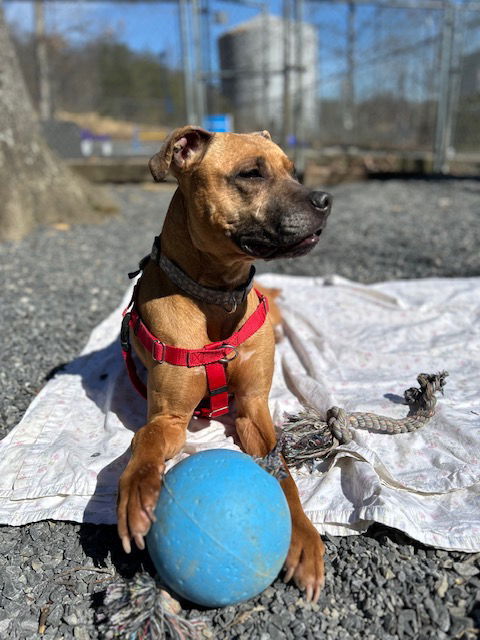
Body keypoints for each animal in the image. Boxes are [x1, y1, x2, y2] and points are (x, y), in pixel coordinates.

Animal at [118, 126, 332, 604]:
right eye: (251, 173)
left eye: (293, 170)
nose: (326, 198)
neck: (219, 296)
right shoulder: (169, 418)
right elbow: (146, 440)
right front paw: (139, 489)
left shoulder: (253, 408)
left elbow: (283, 474)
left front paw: (304, 537)